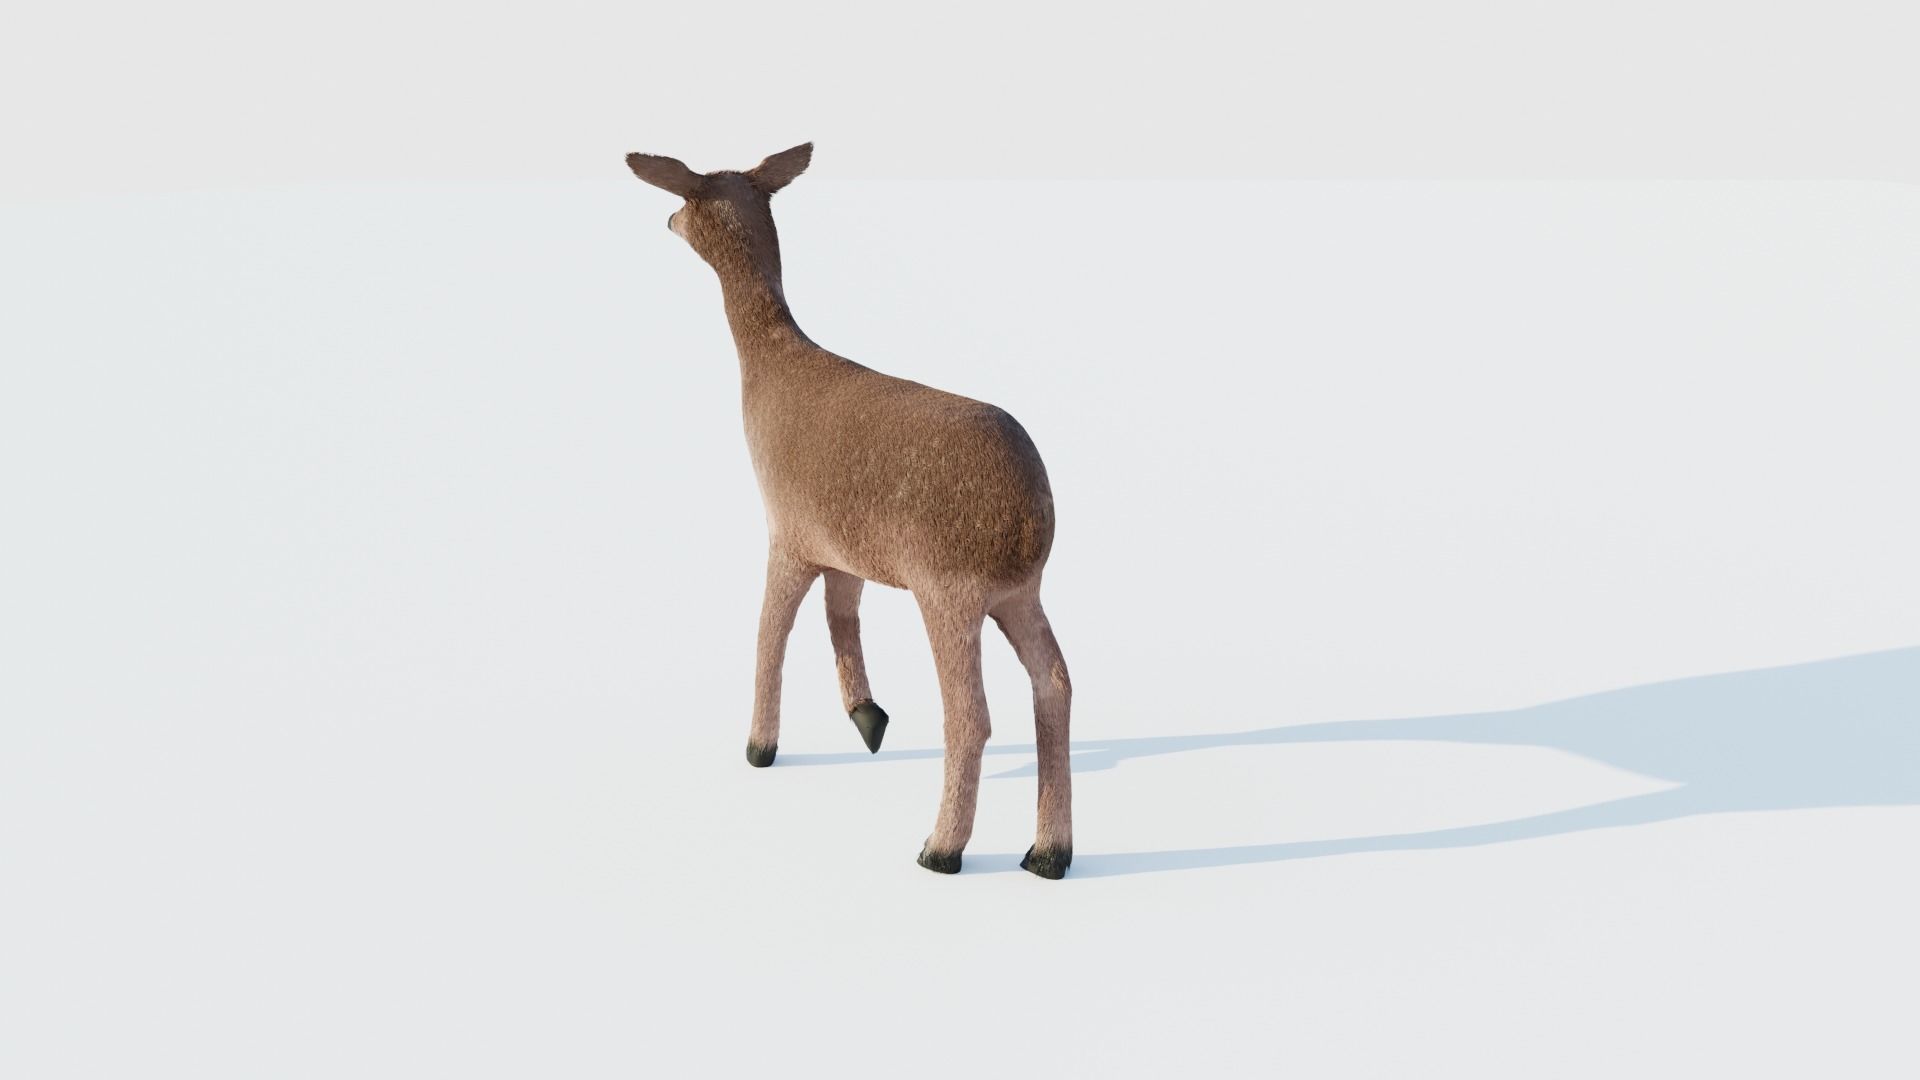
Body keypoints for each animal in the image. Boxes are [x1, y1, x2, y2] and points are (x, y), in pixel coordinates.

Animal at [624, 143, 1073, 878]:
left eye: (689, 195)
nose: (666, 220)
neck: (773, 363)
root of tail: (1030, 515)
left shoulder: (787, 533)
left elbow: (769, 636)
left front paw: (760, 745)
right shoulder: (844, 549)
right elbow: (842, 617)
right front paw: (867, 716)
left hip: (949, 589)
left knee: (970, 715)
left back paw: (941, 849)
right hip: (1019, 592)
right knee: (1055, 687)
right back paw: (1048, 854)